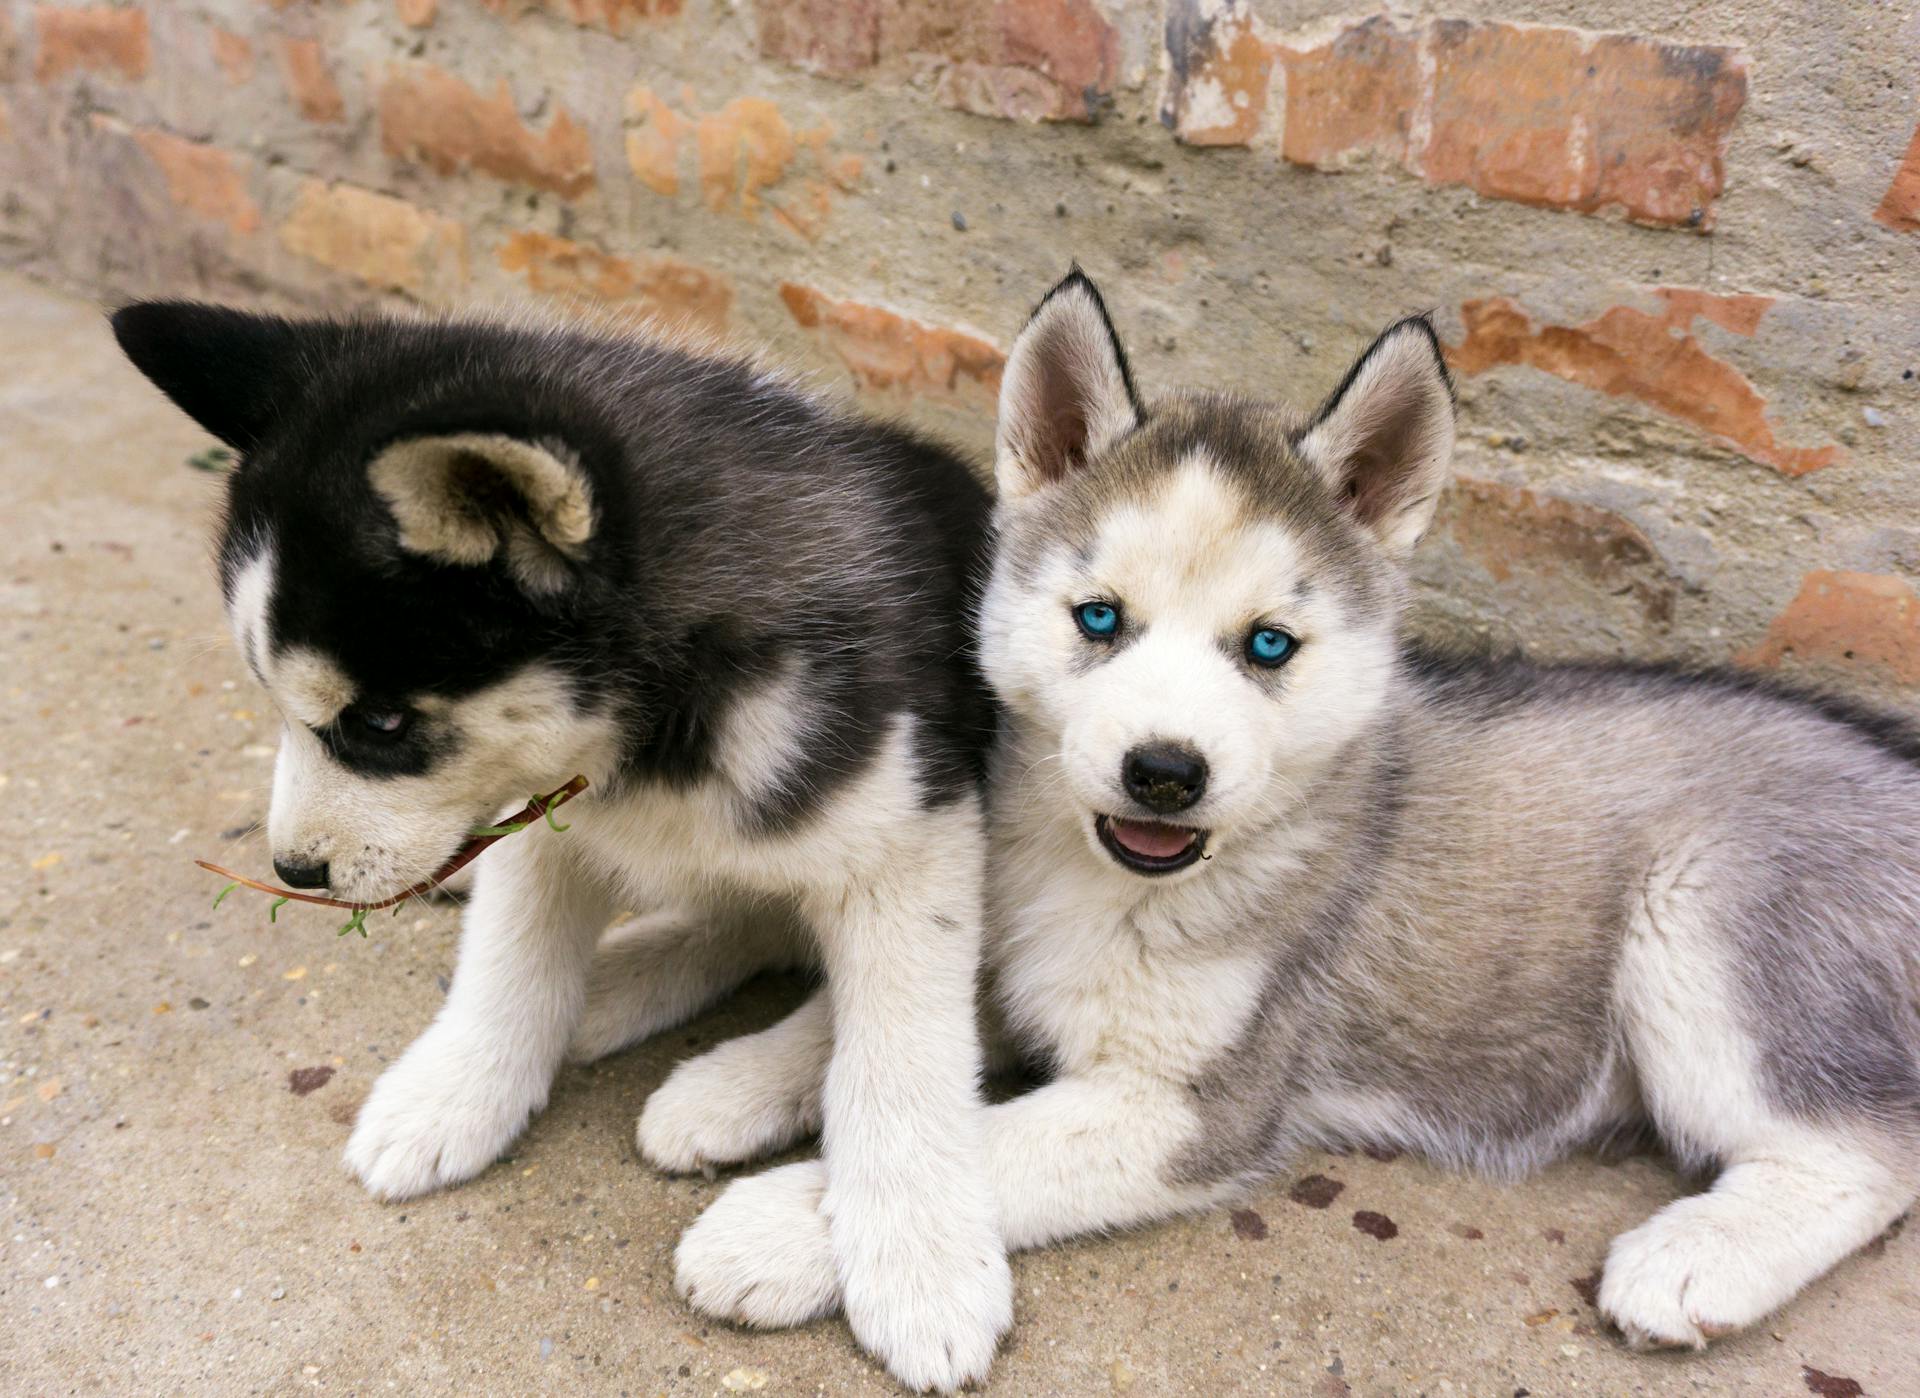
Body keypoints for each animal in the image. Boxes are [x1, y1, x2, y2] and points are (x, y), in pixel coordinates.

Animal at [648, 270, 1920, 1351]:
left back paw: (1696, 1258)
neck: (1094, 878)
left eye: (1268, 646)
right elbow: (868, 1025)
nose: (1166, 771)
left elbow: (978, 1139)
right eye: (1099, 619)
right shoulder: (994, 948)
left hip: (1705, 930)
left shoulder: (1194, 1106)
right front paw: (728, 1082)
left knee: (1869, 1153)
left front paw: (778, 1227)